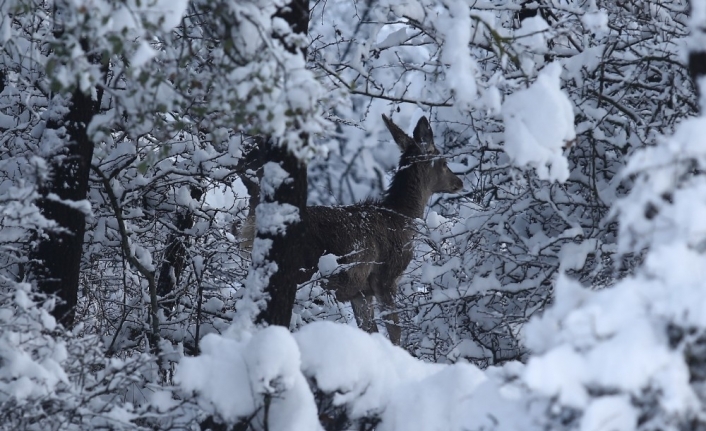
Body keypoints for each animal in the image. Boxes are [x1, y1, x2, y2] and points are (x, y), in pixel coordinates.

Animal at [239, 115, 464, 344]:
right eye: (444, 162)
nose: (459, 182)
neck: (401, 217)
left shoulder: (361, 291)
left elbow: (370, 330)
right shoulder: (386, 277)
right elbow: (394, 332)